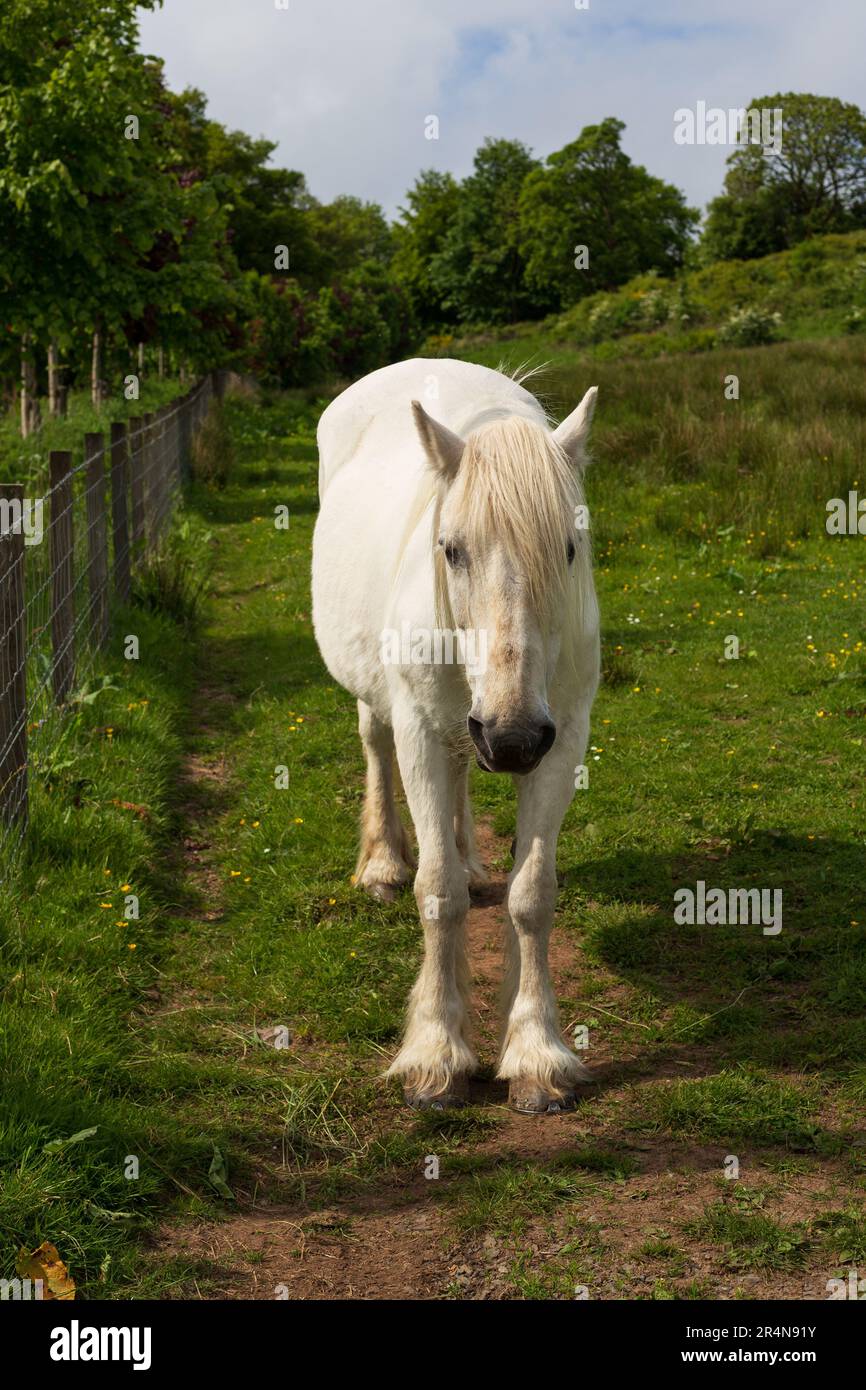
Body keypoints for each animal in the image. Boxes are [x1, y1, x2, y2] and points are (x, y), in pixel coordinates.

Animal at [312, 358, 600, 1114]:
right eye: (451, 550)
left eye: (569, 547)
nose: (513, 737)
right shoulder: (420, 732)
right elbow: (438, 893)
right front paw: (435, 1055)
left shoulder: (562, 740)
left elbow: (532, 896)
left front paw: (535, 1054)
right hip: (386, 704)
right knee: (375, 745)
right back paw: (383, 864)